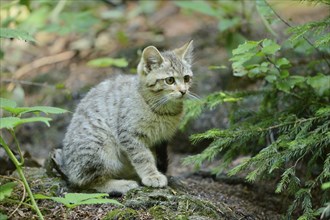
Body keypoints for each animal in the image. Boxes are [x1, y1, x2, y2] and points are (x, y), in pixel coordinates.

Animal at [58, 40, 193, 194]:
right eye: (170, 80)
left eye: (186, 78)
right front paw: (152, 176)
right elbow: (142, 156)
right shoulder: (128, 134)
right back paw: (120, 184)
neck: (161, 108)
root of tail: (68, 168)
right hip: (100, 147)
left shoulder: (160, 140)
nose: (183, 91)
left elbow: (154, 156)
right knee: (87, 182)